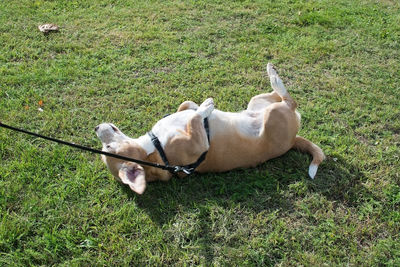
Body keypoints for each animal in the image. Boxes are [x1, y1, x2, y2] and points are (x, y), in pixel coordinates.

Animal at [95, 63, 324, 196]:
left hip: (257, 102)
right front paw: (206, 107)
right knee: (288, 99)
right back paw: (273, 75)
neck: (153, 147)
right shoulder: (198, 143)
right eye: (107, 148)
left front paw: (198, 106)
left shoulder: (183, 113)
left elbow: (187, 107)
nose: (96, 127)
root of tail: (294, 140)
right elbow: (196, 117)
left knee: (277, 95)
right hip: (275, 115)